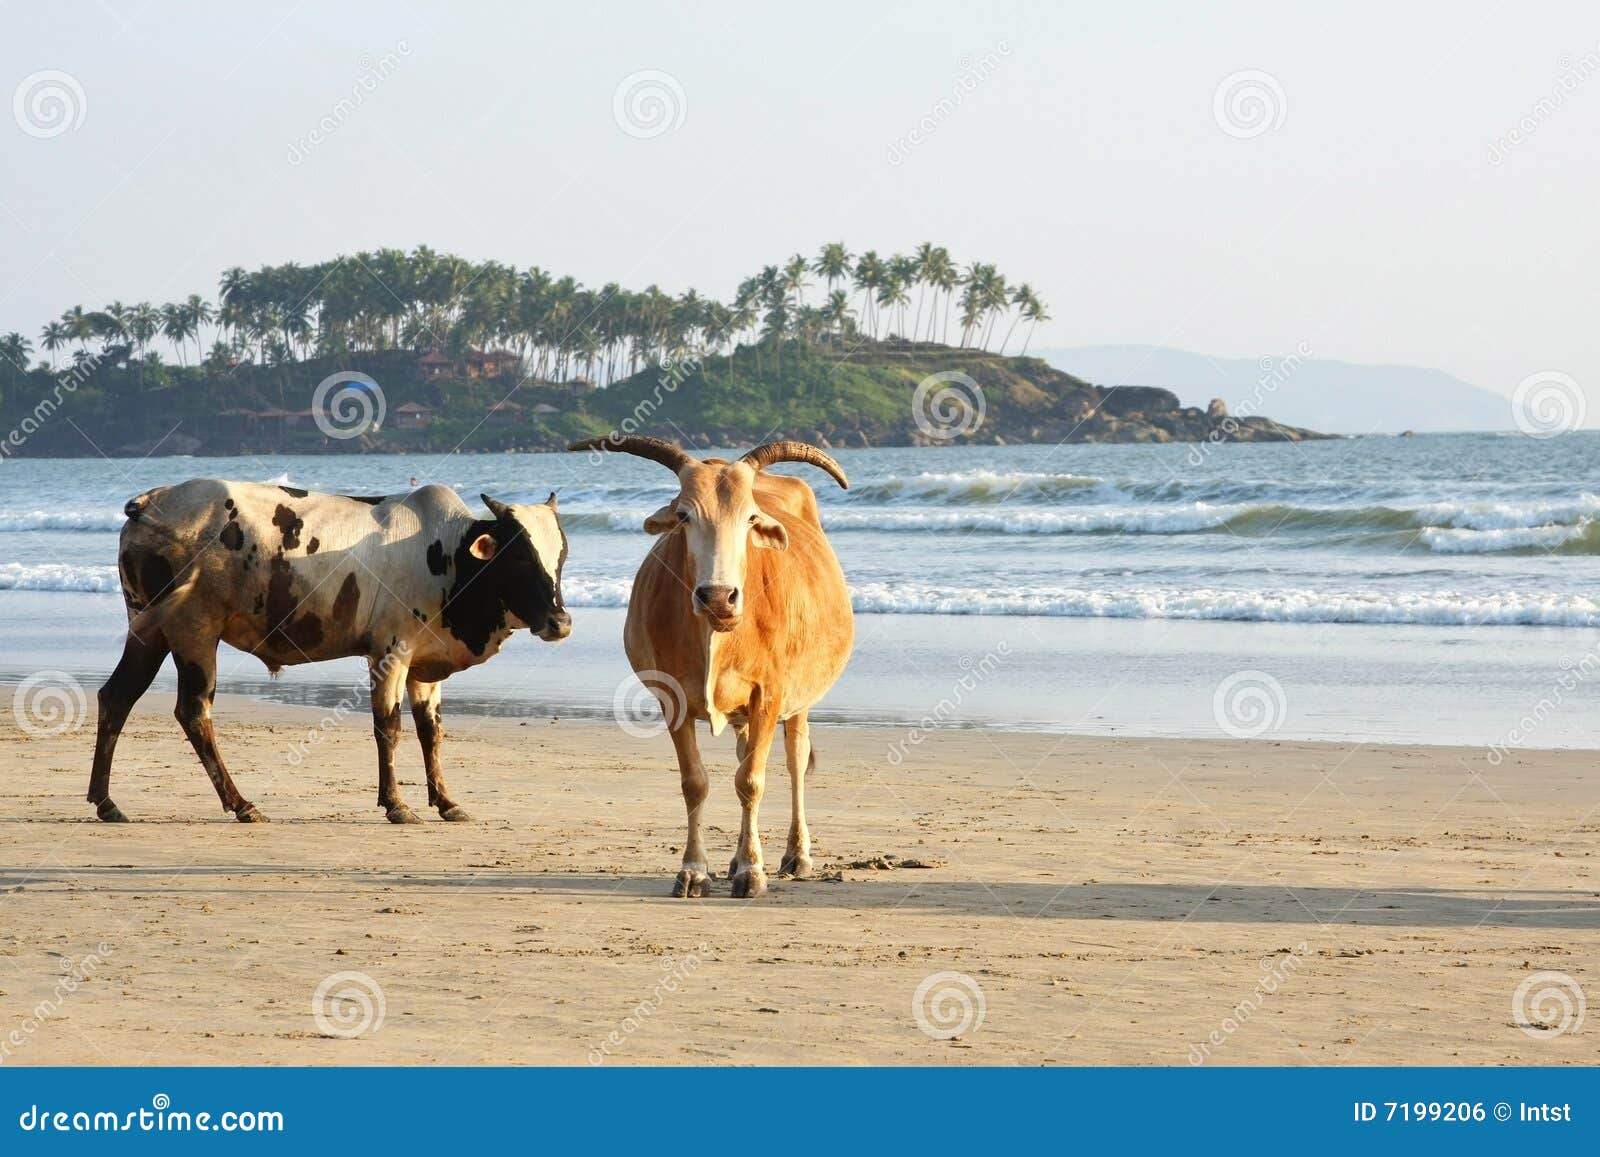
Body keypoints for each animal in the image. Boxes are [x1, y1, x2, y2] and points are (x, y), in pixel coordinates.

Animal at [87, 480, 571, 825]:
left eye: (561, 557)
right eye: (519, 556)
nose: (560, 622)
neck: (448, 555)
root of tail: (150, 502)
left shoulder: (424, 666)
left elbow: (430, 732)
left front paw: (447, 802)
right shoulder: (390, 653)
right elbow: (388, 727)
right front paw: (396, 805)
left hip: (148, 630)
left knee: (117, 697)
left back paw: (106, 802)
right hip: (194, 631)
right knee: (193, 711)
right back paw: (242, 804)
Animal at [569, 436, 853, 899]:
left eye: (751, 517)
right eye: (684, 515)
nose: (719, 597)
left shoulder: (768, 695)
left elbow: (751, 781)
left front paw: (752, 873)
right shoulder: (673, 701)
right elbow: (695, 783)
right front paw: (694, 871)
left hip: (799, 702)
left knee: (795, 760)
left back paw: (796, 855)